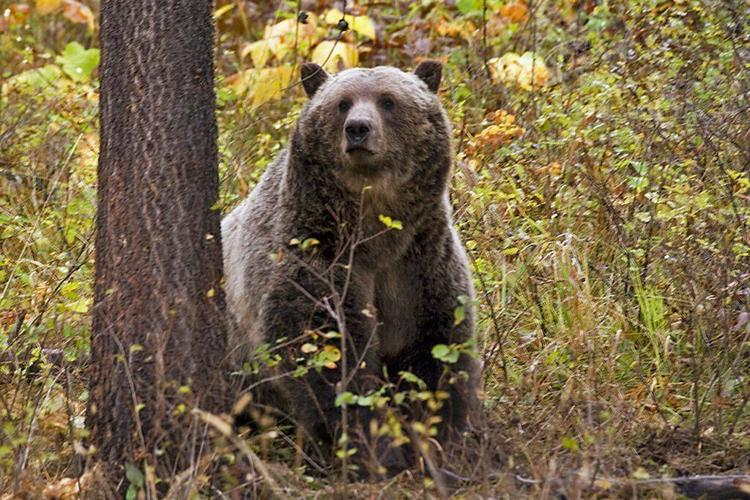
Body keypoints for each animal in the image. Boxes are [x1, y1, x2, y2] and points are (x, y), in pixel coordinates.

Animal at [223, 60, 478, 470]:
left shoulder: (419, 265)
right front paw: (374, 447)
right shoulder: (318, 256)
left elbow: (436, 350)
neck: (376, 232)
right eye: (342, 102)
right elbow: (327, 354)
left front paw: (437, 436)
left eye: (388, 100)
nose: (358, 128)